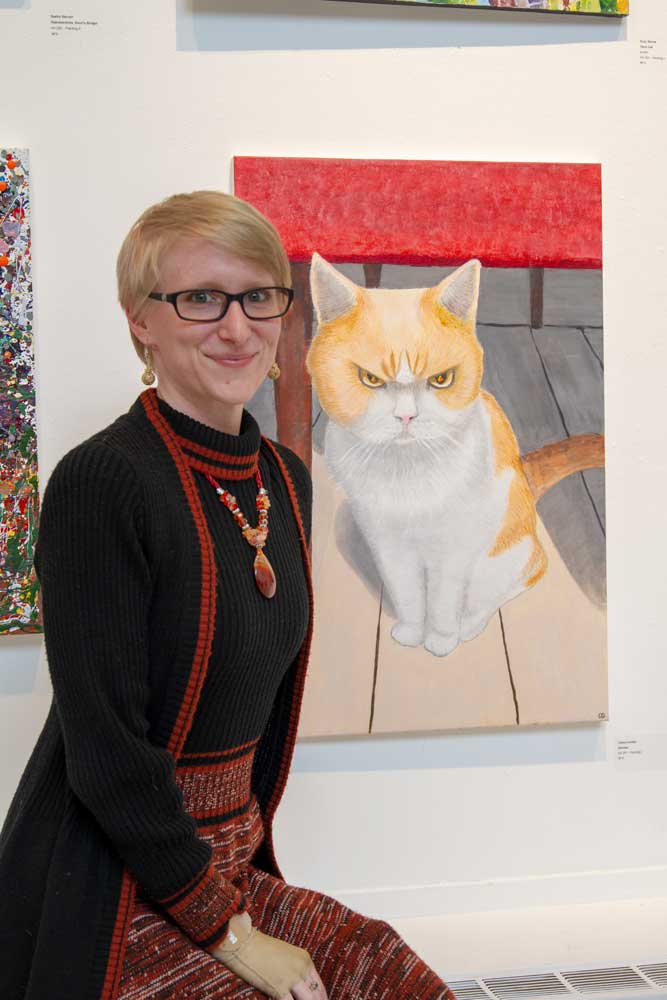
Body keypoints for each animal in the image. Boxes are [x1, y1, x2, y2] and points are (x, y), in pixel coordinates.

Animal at [308, 254, 548, 656]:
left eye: (441, 380)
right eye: (371, 380)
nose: (407, 416)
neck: (405, 474)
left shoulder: (451, 553)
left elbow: (442, 600)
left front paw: (440, 640)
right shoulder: (387, 544)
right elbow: (406, 593)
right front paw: (410, 632)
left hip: (502, 559)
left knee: (507, 586)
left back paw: (469, 626)